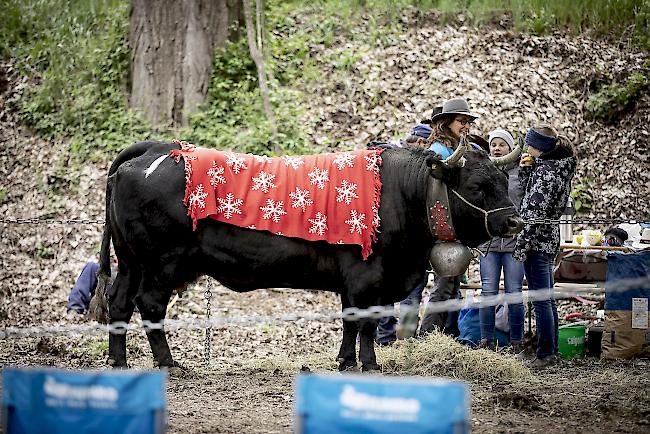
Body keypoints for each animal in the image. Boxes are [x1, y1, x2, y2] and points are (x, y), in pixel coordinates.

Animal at [90, 141, 520, 372]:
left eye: (503, 181)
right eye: (478, 186)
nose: (515, 221)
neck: (399, 193)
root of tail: (158, 149)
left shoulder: (356, 283)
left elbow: (349, 323)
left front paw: (345, 360)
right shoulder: (368, 276)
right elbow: (366, 324)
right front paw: (369, 363)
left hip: (131, 261)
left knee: (120, 302)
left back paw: (118, 362)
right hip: (162, 262)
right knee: (150, 305)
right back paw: (168, 363)